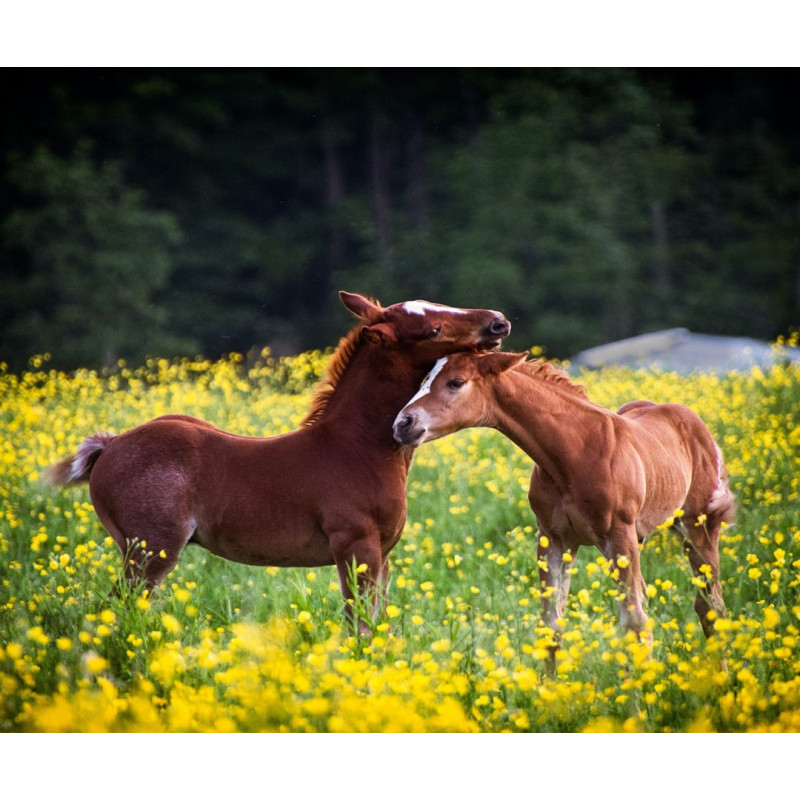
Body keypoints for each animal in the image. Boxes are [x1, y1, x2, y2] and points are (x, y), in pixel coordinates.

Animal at [47, 290, 510, 620]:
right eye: (432, 330)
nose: (498, 321)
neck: (359, 447)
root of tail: (111, 445)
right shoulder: (356, 547)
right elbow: (358, 624)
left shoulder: (384, 555)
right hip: (150, 551)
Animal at [390, 354, 736, 652]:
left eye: (456, 382)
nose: (402, 424)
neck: (573, 453)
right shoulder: (555, 540)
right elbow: (551, 626)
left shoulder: (619, 536)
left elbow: (635, 625)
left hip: (698, 527)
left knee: (711, 607)